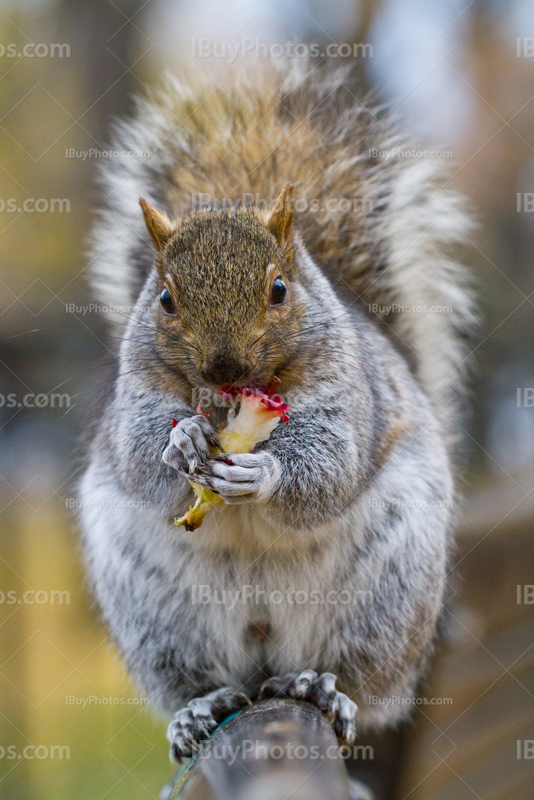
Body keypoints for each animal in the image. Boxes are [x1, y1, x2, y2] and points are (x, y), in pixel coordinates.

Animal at [77, 59, 476, 760]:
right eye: (164, 299)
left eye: (280, 289)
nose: (224, 369)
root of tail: (265, 649)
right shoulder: (134, 396)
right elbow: (140, 456)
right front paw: (181, 442)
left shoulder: (350, 394)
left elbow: (330, 464)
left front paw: (262, 473)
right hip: (157, 617)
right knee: (203, 679)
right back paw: (201, 707)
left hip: (384, 596)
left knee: (355, 674)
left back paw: (321, 688)